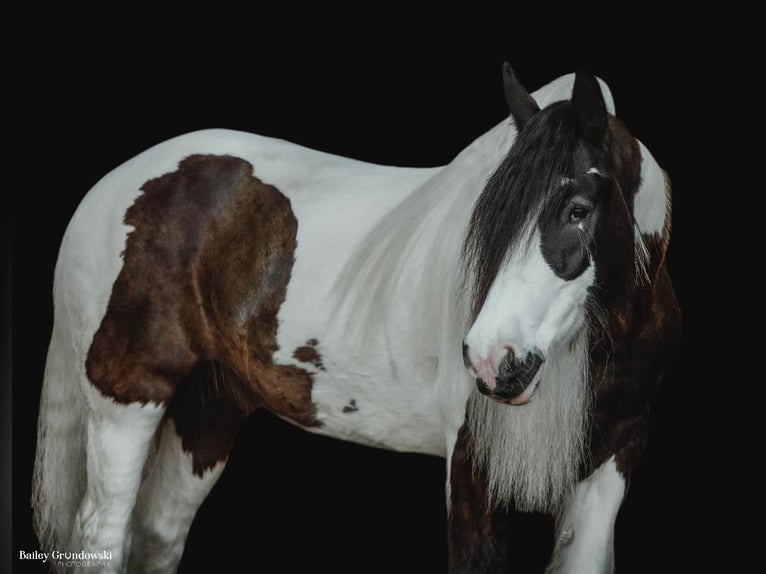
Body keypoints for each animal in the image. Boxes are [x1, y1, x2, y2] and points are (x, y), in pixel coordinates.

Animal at [34, 65, 684, 572]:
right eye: (489, 221)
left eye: (578, 209)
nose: (490, 360)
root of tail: (109, 188)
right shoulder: (472, 469)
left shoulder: (613, 462)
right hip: (126, 401)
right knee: (102, 535)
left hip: (208, 412)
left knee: (158, 534)